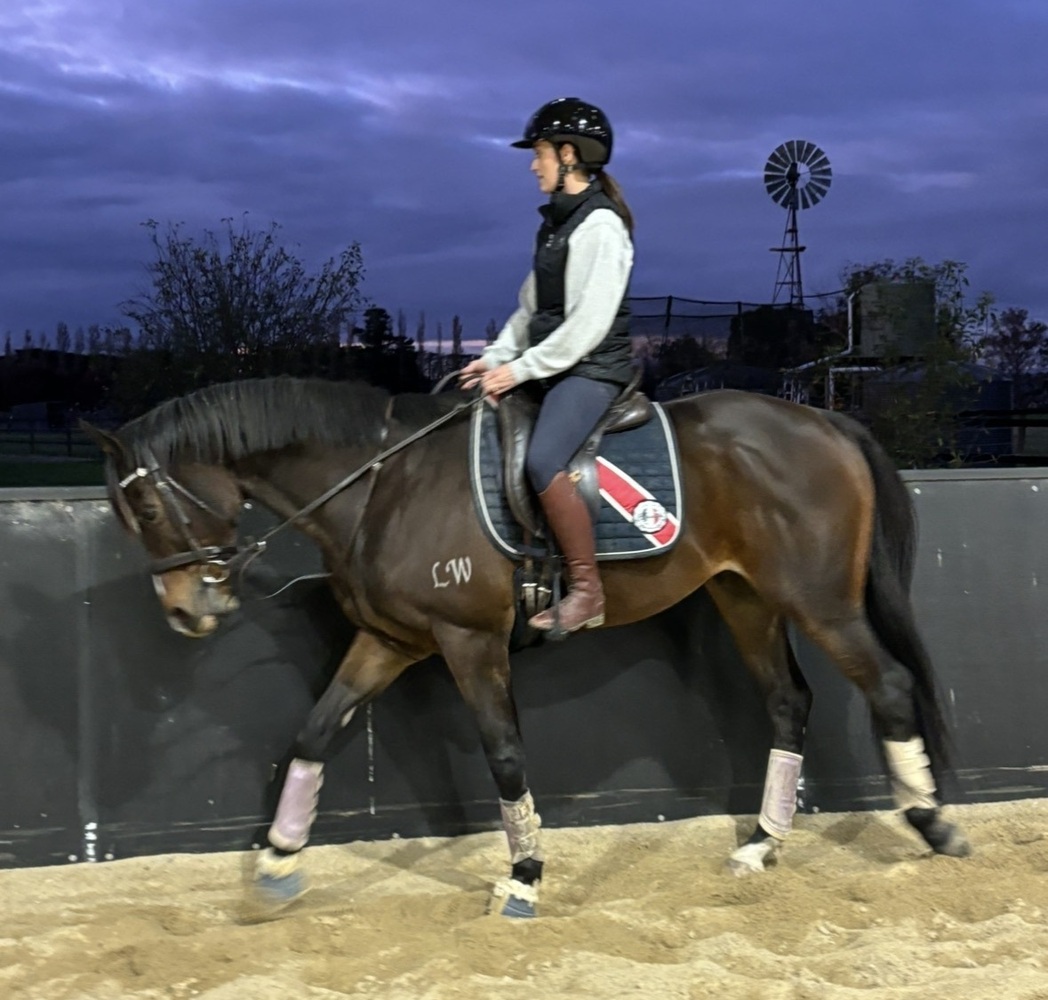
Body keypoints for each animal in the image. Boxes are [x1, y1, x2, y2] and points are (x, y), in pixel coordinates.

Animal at [84, 375, 970, 919]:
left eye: (150, 512)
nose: (185, 612)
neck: (382, 485)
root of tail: (824, 420)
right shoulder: (389, 639)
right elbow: (314, 731)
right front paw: (275, 862)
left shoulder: (469, 641)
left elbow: (505, 754)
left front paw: (524, 878)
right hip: (745, 596)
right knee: (789, 701)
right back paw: (761, 843)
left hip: (819, 600)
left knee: (889, 687)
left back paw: (933, 823)